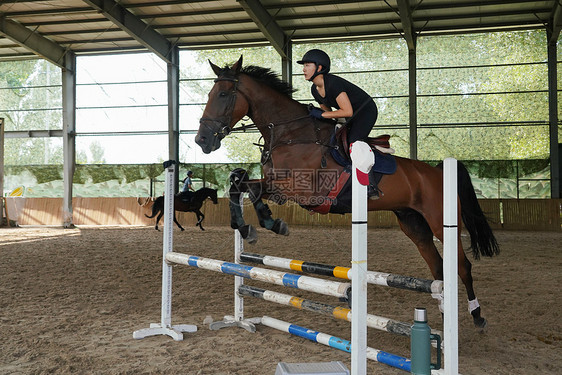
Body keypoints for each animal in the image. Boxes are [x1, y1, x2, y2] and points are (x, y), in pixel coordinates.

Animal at [194, 55, 498, 328]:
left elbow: (252, 191)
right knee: (438, 268)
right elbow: (239, 182)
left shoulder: (302, 191)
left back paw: (477, 315)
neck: (290, 134)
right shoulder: (274, 183)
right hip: (413, 223)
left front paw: (272, 223)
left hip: (439, 221)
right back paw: (445, 315)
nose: (202, 141)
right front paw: (245, 227)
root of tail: (437, 172)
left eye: (223, 94)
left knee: (462, 266)